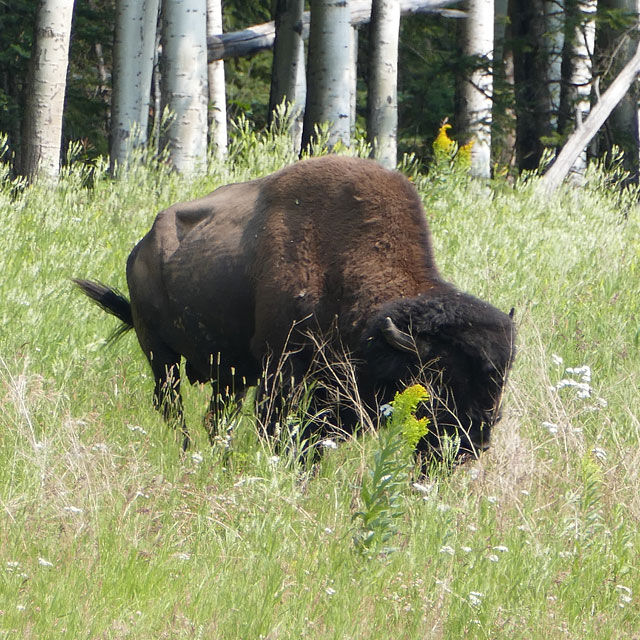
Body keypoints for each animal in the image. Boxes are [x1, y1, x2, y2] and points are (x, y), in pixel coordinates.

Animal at [75, 154, 516, 456]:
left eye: (500, 380)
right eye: (441, 379)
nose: (471, 444)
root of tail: (141, 248)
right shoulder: (281, 368)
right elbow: (278, 429)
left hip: (229, 374)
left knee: (215, 417)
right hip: (160, 354)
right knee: (173, 408)